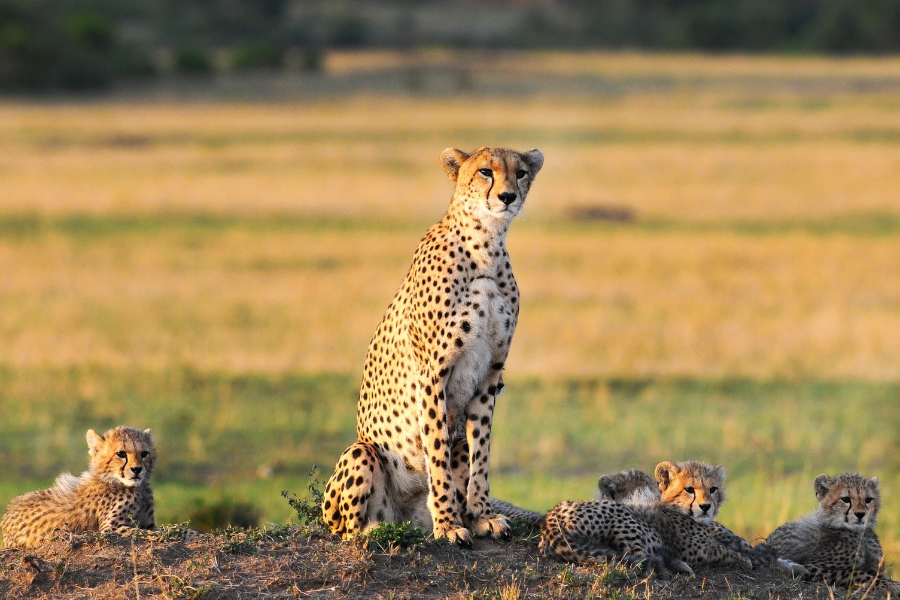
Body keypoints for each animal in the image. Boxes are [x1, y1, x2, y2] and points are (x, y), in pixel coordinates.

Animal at [326, 146, 544, 548]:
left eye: (520, 172)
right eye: (485, 172)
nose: (507, 196)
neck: (486, 245)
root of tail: (405, 518)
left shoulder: (490, 377)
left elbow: (480, 453)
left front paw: (482, 516)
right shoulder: (432, 375)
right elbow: (437, 450)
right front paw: (447, 524)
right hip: (361, 453)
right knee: (348, 531)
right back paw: (379, 530)